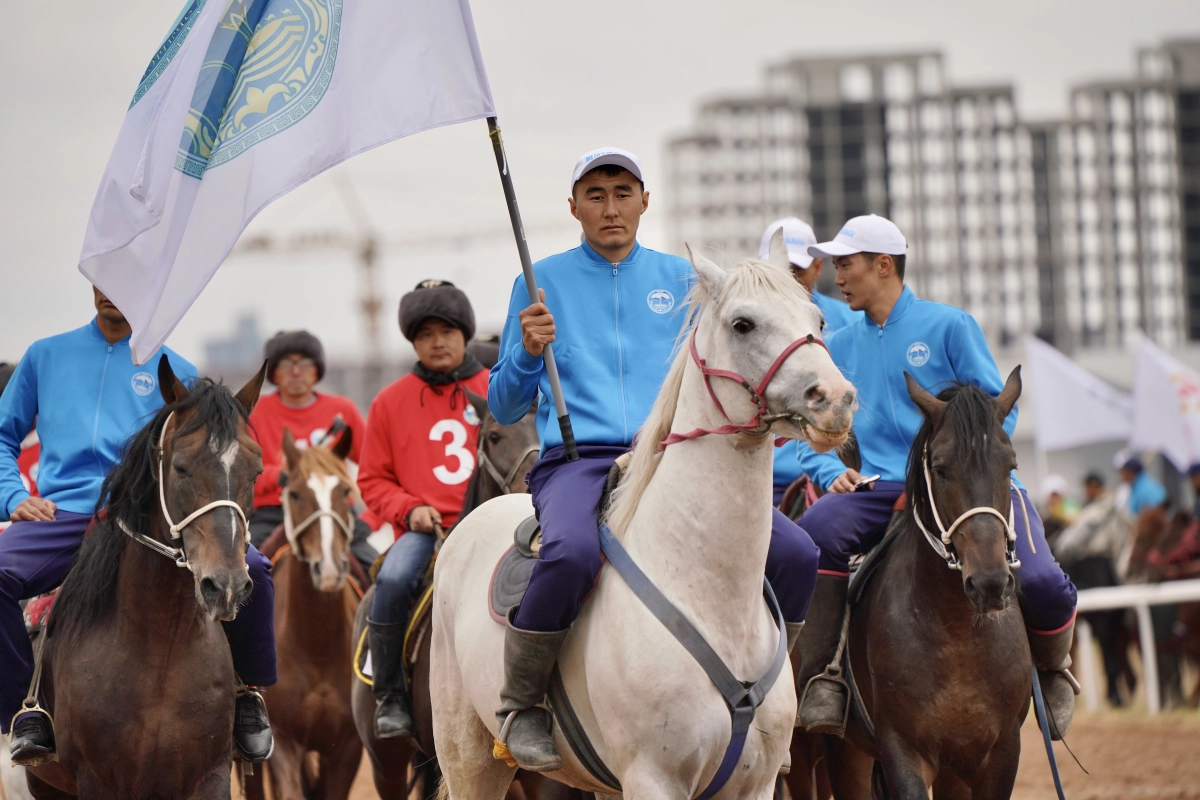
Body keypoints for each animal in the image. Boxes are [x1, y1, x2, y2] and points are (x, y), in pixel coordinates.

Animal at [26, 357, 265, 800]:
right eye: (181, 467)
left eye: (256, 472)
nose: (226, 586)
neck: (161, 655)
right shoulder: (97, 781)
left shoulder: (209, 776)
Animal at [240, 431, 360, 800]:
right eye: (294, 493)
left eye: (345, 492)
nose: (330, 569)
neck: (316, 645)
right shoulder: (283, 742)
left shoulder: (345, 749)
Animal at [429, 236, 854, 800]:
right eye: (743, 324)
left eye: (818, 319)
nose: (836, 399)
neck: (706, 593)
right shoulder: (654, 779)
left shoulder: (756, 784)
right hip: (470, 757)